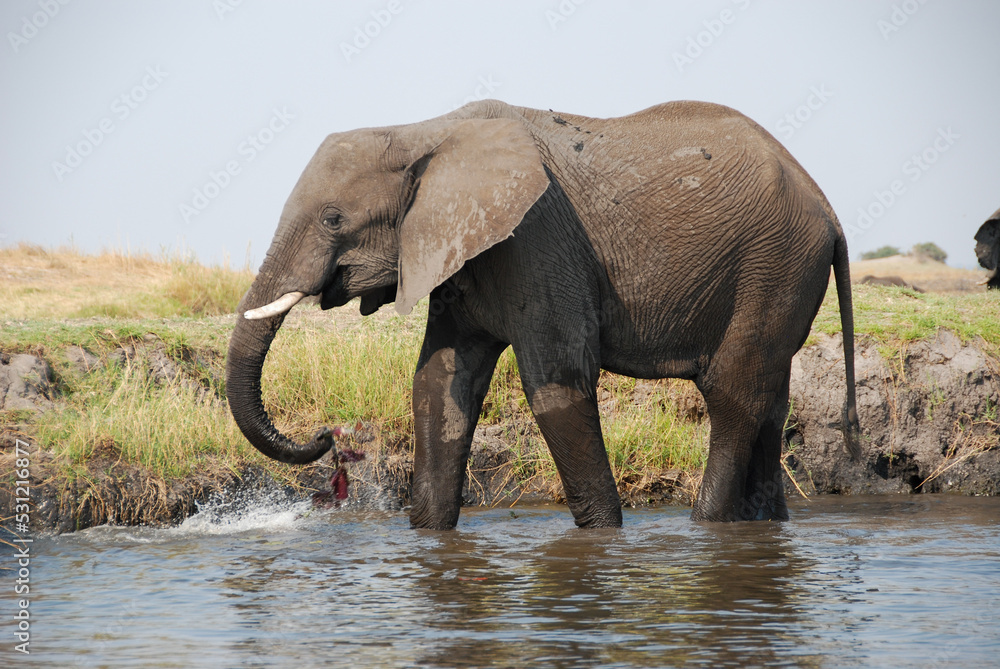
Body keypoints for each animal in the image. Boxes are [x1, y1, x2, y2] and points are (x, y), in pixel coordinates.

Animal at [226, 99, 861, 529]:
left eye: (333, 219)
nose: (327, 436)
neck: (423, 130)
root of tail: (829, 209)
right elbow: (439, 384)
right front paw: (428, 533)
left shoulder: (537, 239)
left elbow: (556, 383)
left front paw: (604, 536)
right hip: (782, 273)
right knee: (770, 402)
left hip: (774, 262)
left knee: (733, 395)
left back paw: (706, 524)